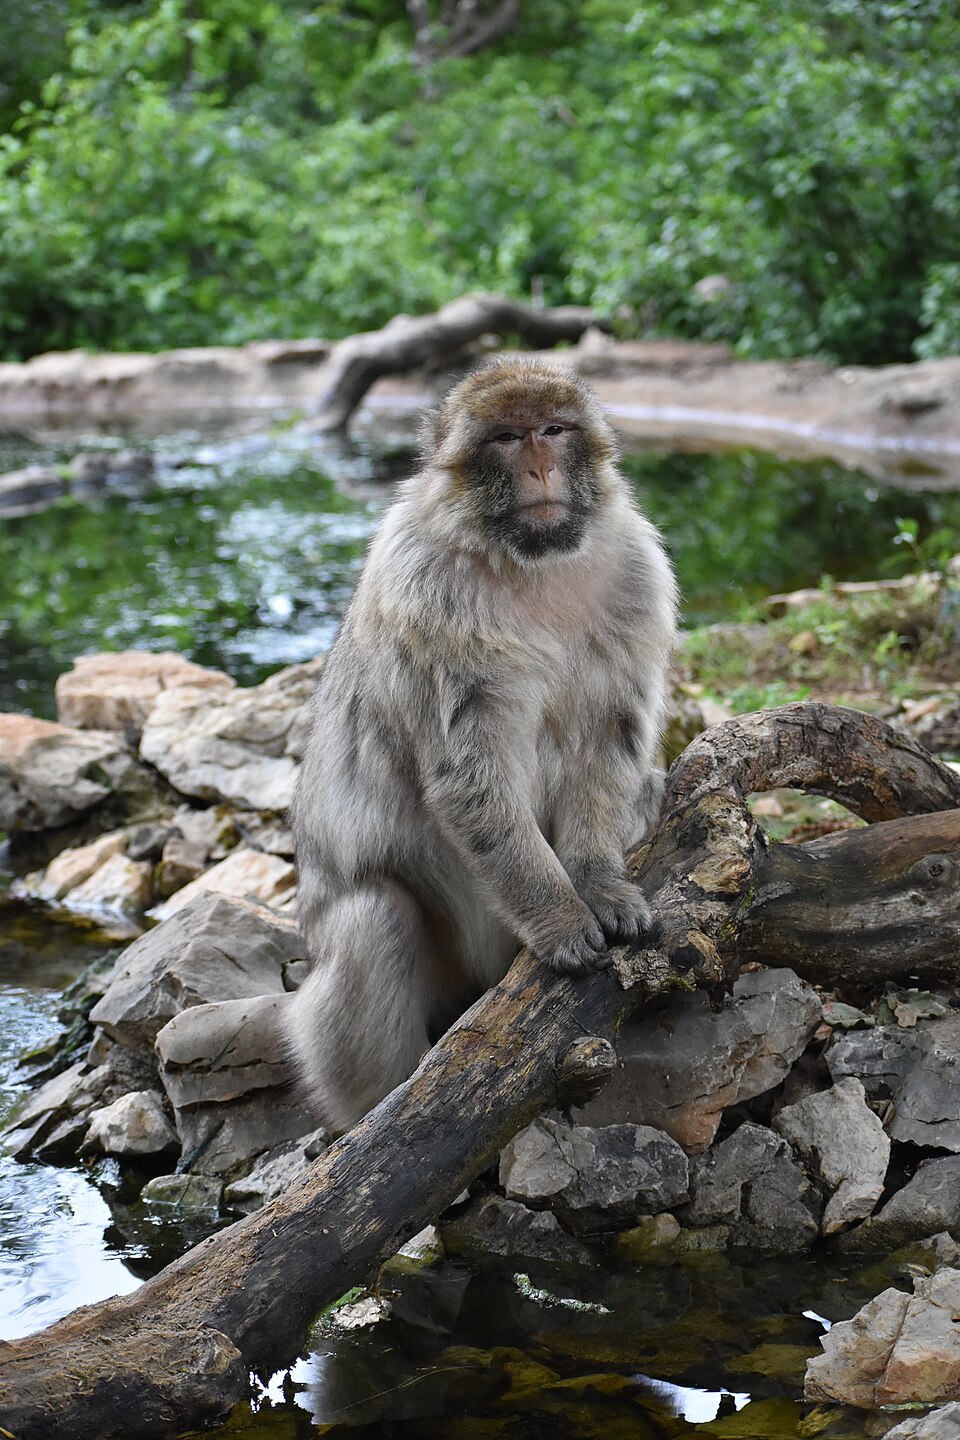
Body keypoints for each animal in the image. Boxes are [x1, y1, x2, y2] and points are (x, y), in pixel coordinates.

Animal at [286, 356, 678, 1132]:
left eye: (553, 430)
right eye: (504, 437)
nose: (537, 466)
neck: (532, 566)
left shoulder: (636, 572)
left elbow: (608, 741)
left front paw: (598, 883)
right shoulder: (425, 594)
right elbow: (471, 774)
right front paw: (559, 916)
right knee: (374, 918)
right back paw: (378, 1114)